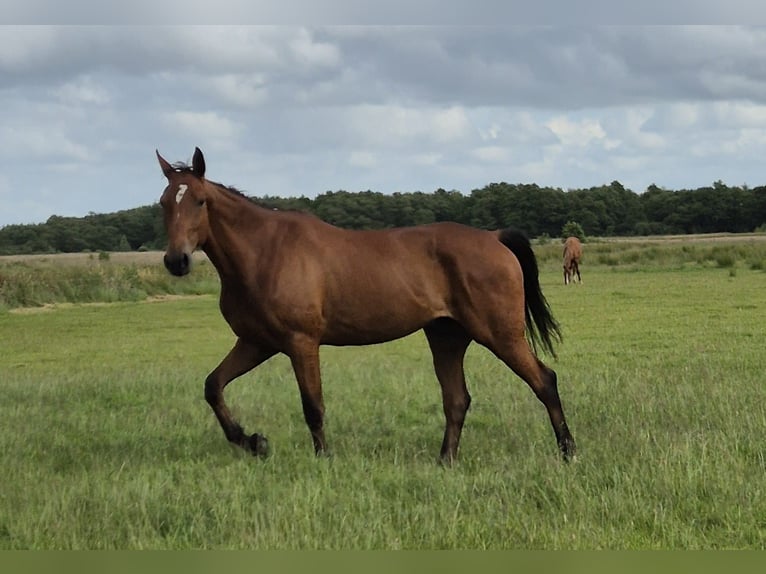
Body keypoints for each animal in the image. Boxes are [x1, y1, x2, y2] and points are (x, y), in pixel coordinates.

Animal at [156, 146, 576, 466]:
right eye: (163, 203)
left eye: (200, 201)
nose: (176, 261)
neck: (264, 251)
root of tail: (494, 238)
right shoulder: (257, 343)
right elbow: (213, 387)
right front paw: (252, 441)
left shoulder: (300, 342)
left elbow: (313, 405)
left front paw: (322, 460)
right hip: (446, 337)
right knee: (457, 399)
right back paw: (445, 461)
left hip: (499, 334)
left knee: (544, 381)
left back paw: (568, 451)